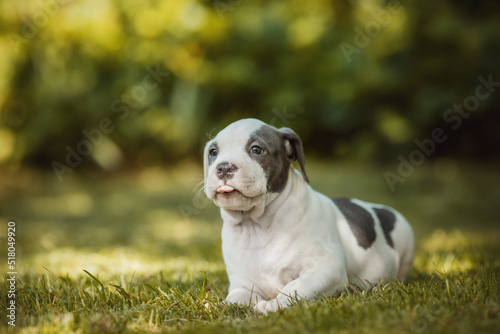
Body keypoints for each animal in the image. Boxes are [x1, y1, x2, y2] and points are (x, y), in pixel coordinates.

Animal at [203, 118, 414, 314]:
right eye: (213, 152)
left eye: (256, 149)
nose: (223, 167)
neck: (256, 225)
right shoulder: (243, 284)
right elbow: (235, 297)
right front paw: (218, 306)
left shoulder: (326, 269)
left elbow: (296, 286)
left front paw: (274, 304)